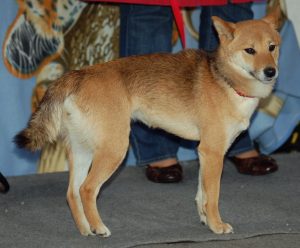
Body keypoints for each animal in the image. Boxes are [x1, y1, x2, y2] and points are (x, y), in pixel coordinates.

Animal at [14, 7, 282, 236]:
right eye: (249, 50)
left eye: (272, 47)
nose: (271, 72)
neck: (225, 80)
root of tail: (78, 75)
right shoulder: (213, 152)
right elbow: (213, 195)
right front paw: (217, 225)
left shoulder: (205, 154)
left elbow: (201, 194)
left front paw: (206, 220)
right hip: (114, 150)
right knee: (87, 189)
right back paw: (99, 228)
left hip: (83, 150)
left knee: (72, 193)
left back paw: (85, 230)